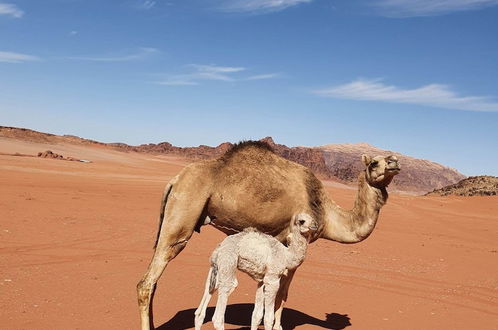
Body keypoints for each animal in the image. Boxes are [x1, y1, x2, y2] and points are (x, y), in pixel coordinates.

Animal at [137, 141, 400, 328]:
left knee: (155, 282)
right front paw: (277, 326)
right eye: (373, 163)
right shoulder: (291, 241)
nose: (394, 161)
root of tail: (174, 180)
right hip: (182, 215)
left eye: (390, 159)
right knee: (146, 282)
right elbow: (283, 293)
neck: (325, 211)